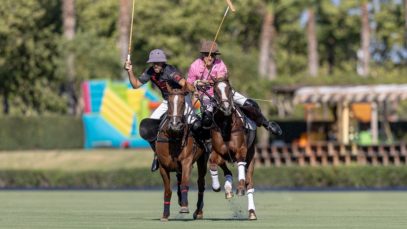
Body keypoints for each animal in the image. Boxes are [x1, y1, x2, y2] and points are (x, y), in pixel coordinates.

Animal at [155, 85, 209, 221]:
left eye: (183, 102)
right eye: (169, 102)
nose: (175, 125)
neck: (174, 136)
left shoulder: (186, 162)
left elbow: (185, 183)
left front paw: (184, 206)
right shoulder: (163, 166)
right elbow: (168, 190)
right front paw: (165, 215)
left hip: (203, 159)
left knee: (201, 183)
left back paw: (198, 212)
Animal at [204, 78, 258, 221]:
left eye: (229, 88)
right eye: (215, 91)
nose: (226, 108)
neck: (226, 125)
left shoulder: (241, 150)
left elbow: (241, 166)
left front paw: (240, 188)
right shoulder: (217, 151)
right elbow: (212, 163)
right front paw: (217, 186)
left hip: (251, 155)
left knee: (250, 183)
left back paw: (252, 212)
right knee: (225, 168)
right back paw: (228, 189)